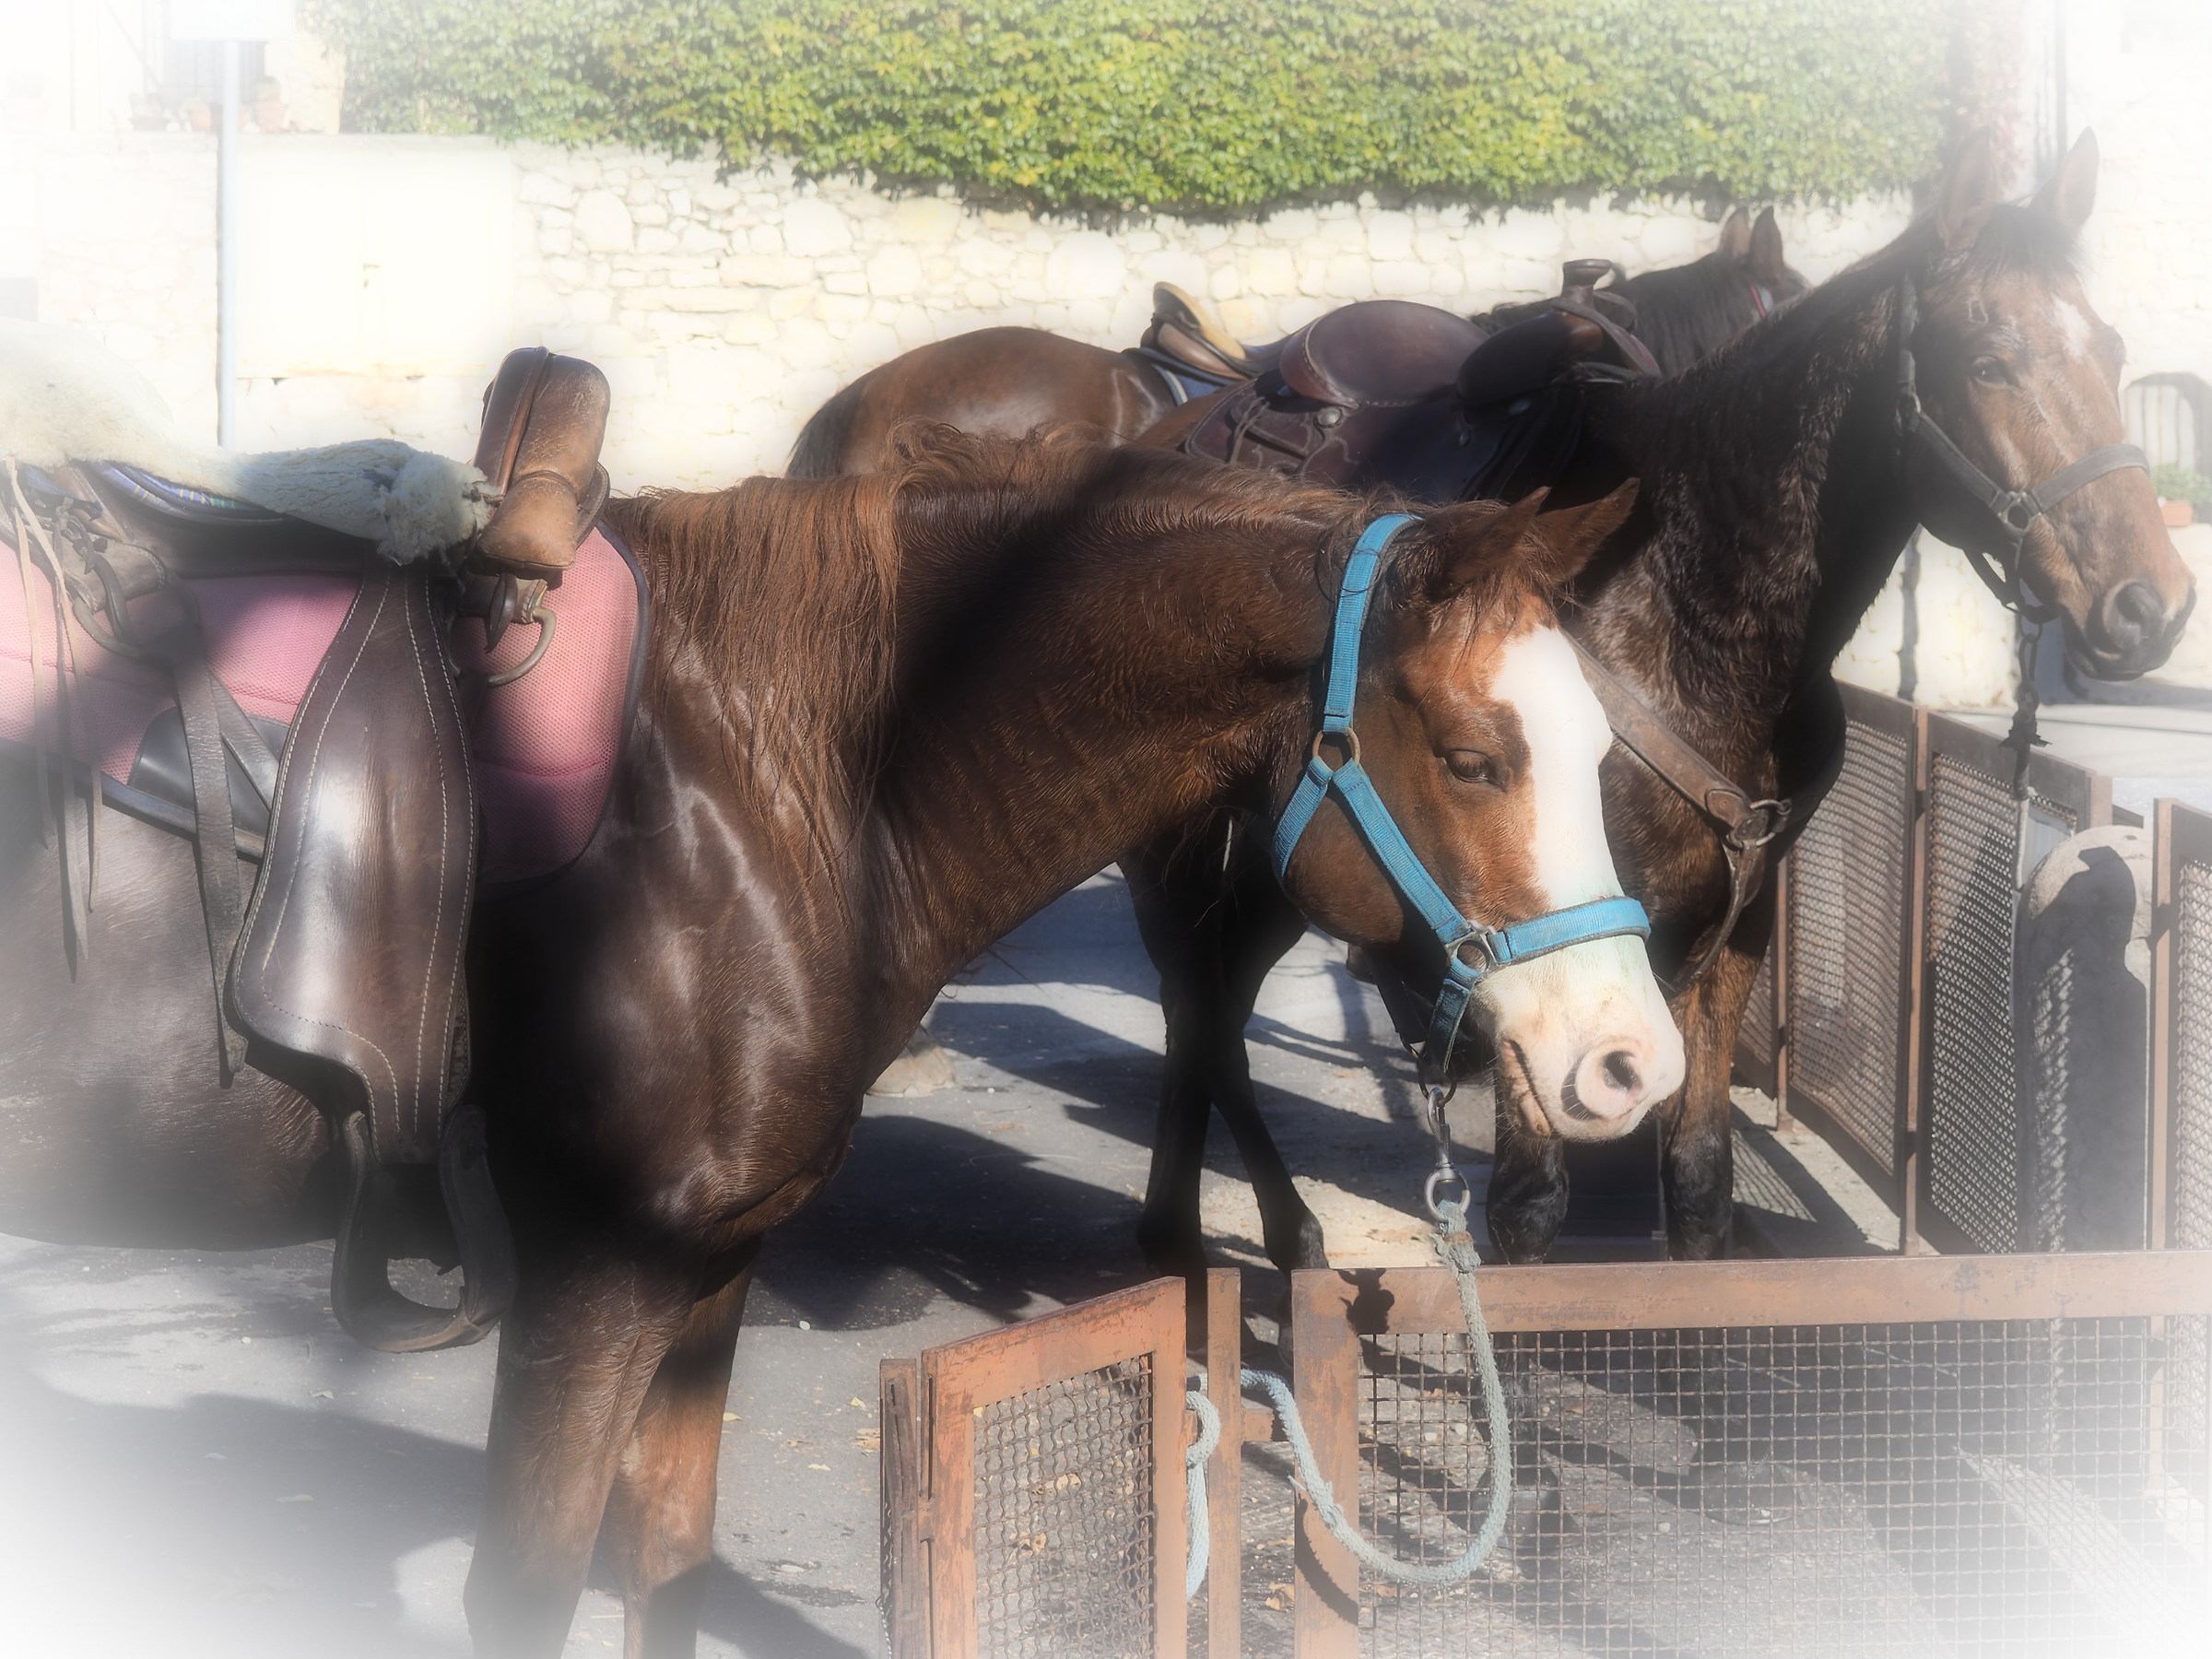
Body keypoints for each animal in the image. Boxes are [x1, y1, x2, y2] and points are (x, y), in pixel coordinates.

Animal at [1, 429, 1679, 1655]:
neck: (767, 776)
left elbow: (666, 1568)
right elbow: (525, 1595)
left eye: (1602, 749)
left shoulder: (702, 1271)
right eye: (1473, 757)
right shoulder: (592, 1280)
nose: (1633, 1064)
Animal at [1126, 129, 2196, 1279]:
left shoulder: (1733, 928)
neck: (1682, 604)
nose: (2152, 604)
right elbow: (1530, 1206)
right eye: (1986, 361)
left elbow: (1696, 1181)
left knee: (1213, 993)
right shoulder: (1530, 942)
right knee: (1197, 997)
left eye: (2115, 351)